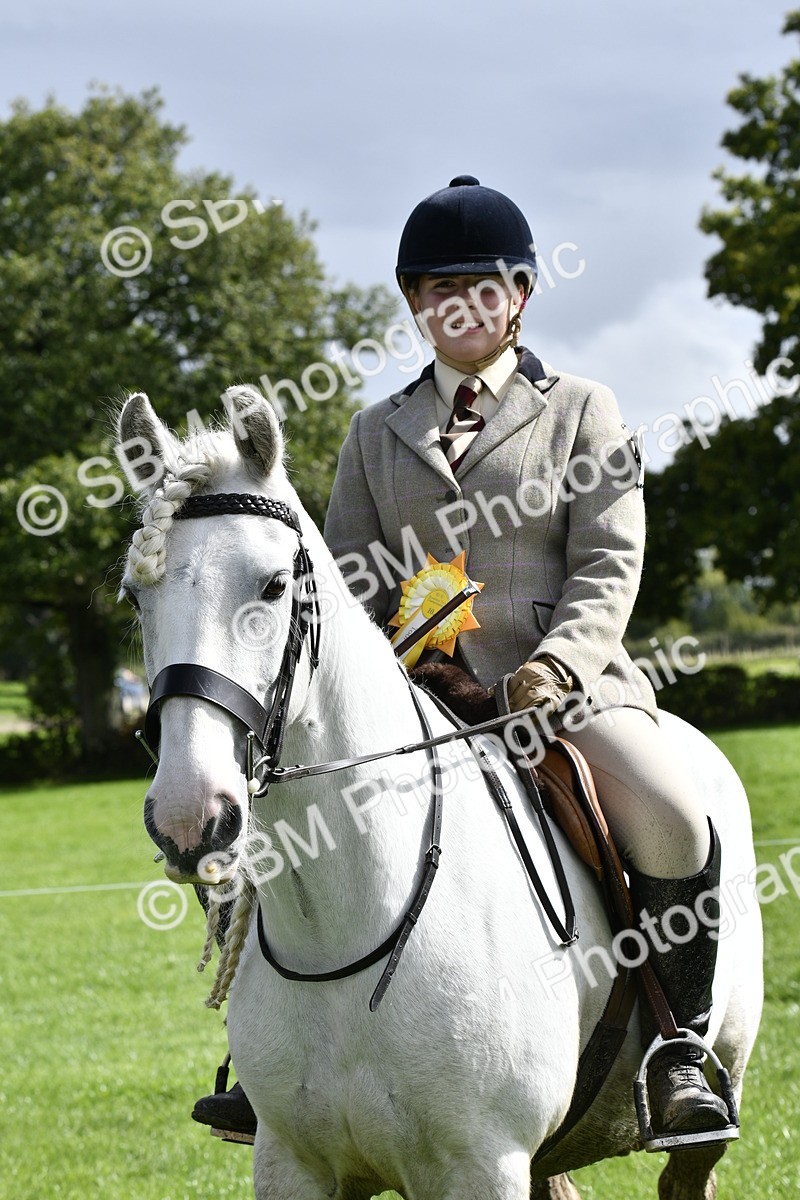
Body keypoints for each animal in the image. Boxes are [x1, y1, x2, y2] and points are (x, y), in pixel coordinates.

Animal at [118, 386, 763, 1200]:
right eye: (135, 597)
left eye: (272, 584)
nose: (189, 816)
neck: (345, 919)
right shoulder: (293, 1164)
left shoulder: (482, 1165)